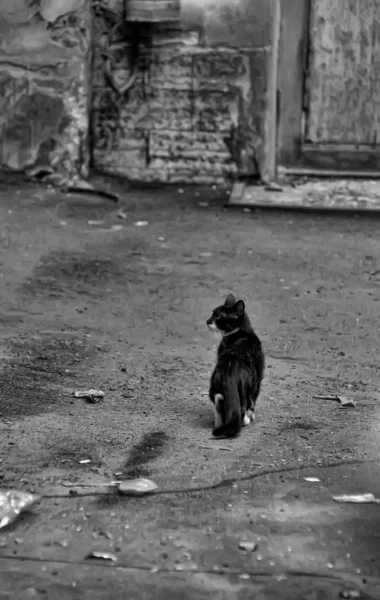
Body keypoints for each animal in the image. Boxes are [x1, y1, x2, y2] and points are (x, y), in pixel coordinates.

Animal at [208, 294, 264, 438]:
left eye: (218, 316)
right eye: (212, 313)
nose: (207, 321)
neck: (241, 332)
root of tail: (231, 373)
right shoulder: (259, 378)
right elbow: (253, 401)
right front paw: (251, 417)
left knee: (220, 401)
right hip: (247, 385)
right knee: (242, 407)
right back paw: (243, 421)